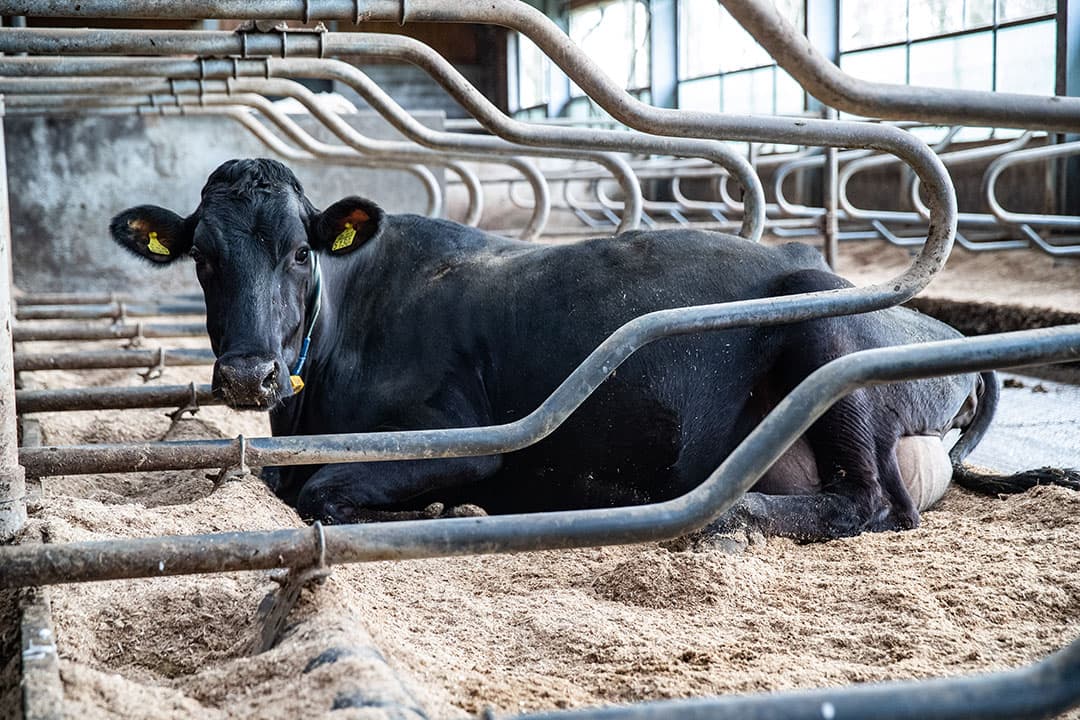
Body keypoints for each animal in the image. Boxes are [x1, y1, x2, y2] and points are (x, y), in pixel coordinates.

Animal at [108, 159, 1079, 541]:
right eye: (201, 257)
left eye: (301, 252)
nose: (247, 373)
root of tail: (949, 335)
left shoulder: (461, 437)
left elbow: (323, 494)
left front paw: (445, 512)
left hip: (829, 338)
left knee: (873, 502)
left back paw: (723, 516)